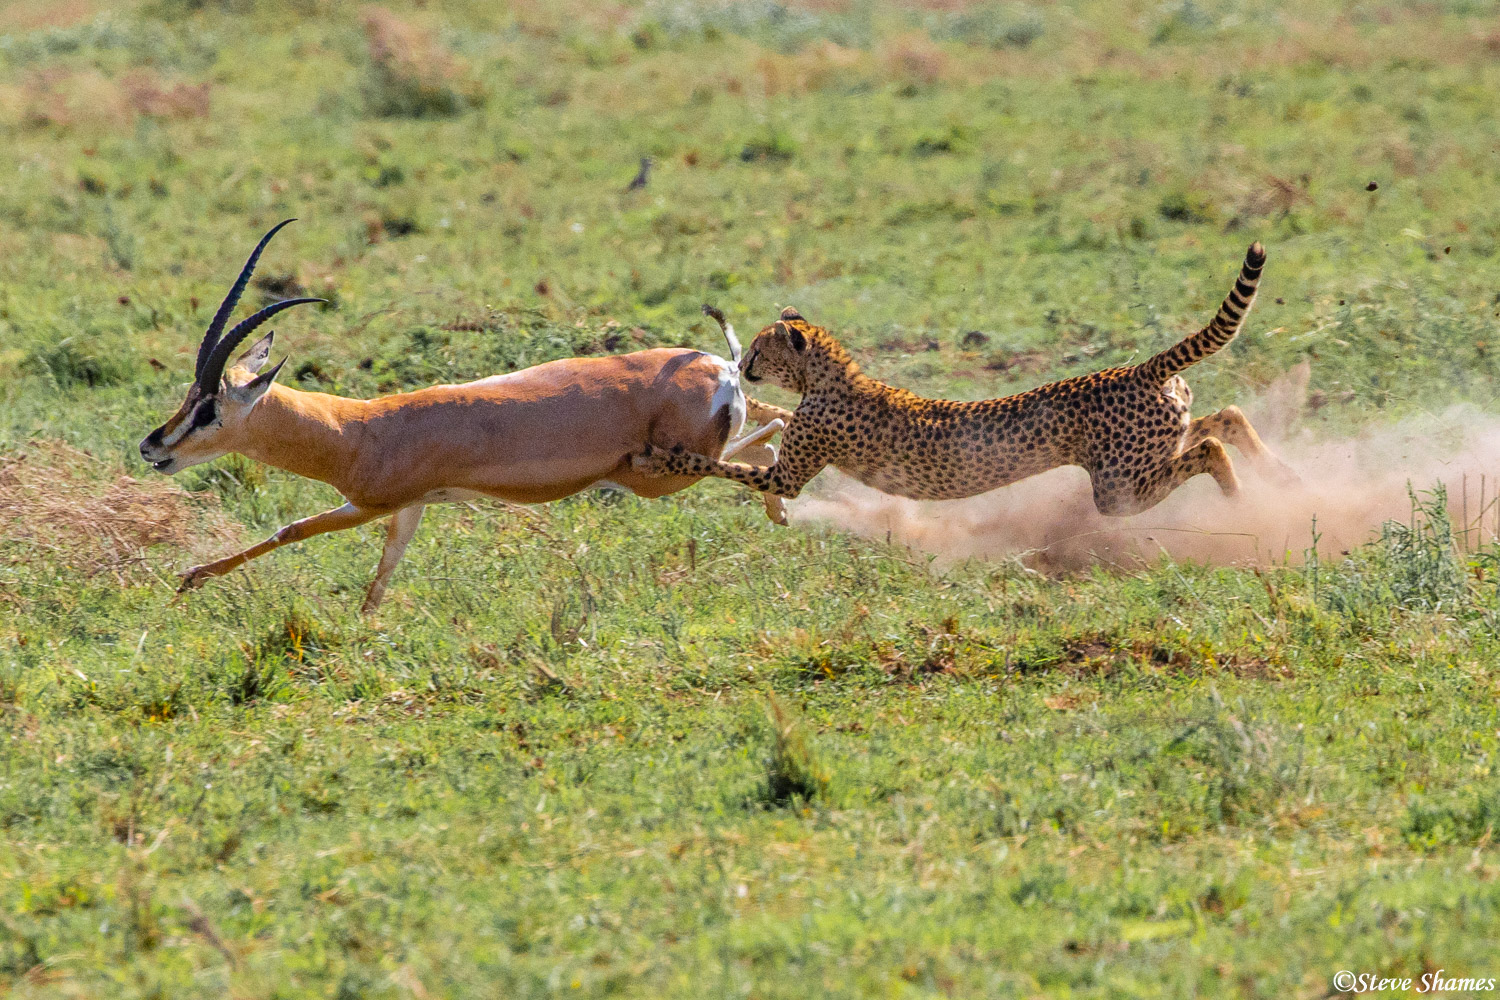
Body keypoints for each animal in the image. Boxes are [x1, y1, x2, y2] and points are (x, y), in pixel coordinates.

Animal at [627, 242, 1296, 524]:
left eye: (763, 346)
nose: (744, 365)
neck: (835, 379)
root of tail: (1134, 368)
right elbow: (771, 418)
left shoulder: (790, 472)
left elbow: (723, 467)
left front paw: (665, 458)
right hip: (1150, 446)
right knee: (1224, 418)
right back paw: (1277, 475)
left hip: (1118, 487)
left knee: (1208, 447)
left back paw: (1243, 498)